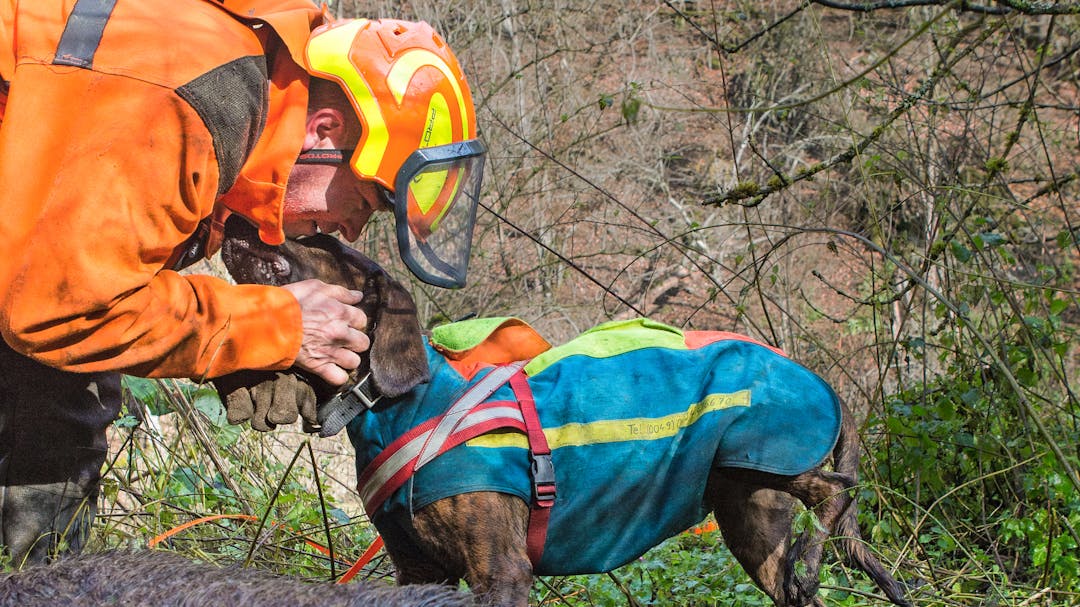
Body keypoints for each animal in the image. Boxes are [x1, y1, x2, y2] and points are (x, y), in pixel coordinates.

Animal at [219, 221, 911, 604]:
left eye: (315, 239)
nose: (235, 218)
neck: (398, 407)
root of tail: (821, 380)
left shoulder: (500, 572)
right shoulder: (418, 572)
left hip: (768, 454)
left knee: (836, 491)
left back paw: (815, 558)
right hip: (752, 521)